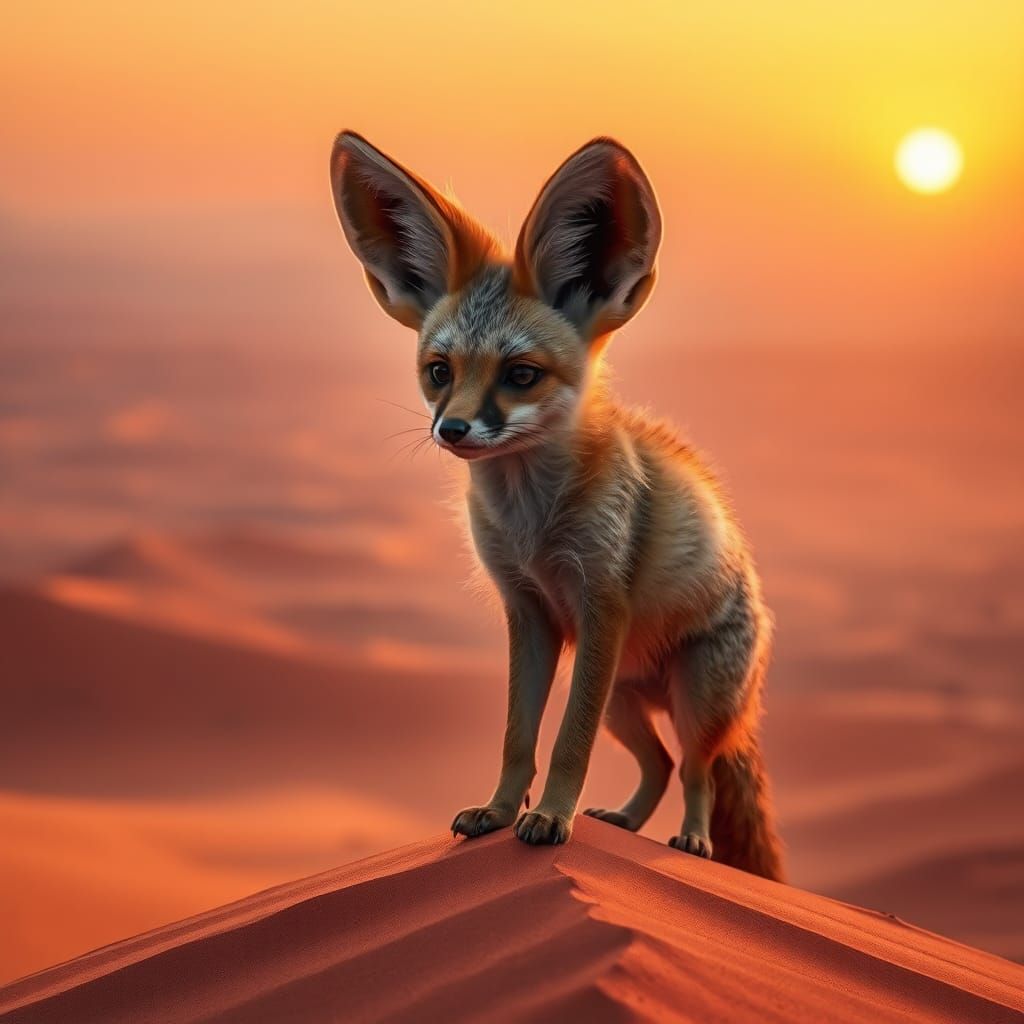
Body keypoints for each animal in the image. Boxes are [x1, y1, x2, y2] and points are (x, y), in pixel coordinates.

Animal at [329, 131, 784, 880]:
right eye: (439, 372)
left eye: (521, 375)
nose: (452, 430)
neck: (533, 529)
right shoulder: (528, 611)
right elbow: (518, 737)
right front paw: (498, 812)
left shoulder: (600, 605)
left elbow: (569, 741)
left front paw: (548, 820)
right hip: (624, 701)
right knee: (660, 766)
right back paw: (622, 822)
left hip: (689, 699)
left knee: (699, 773)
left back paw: (690, 840)